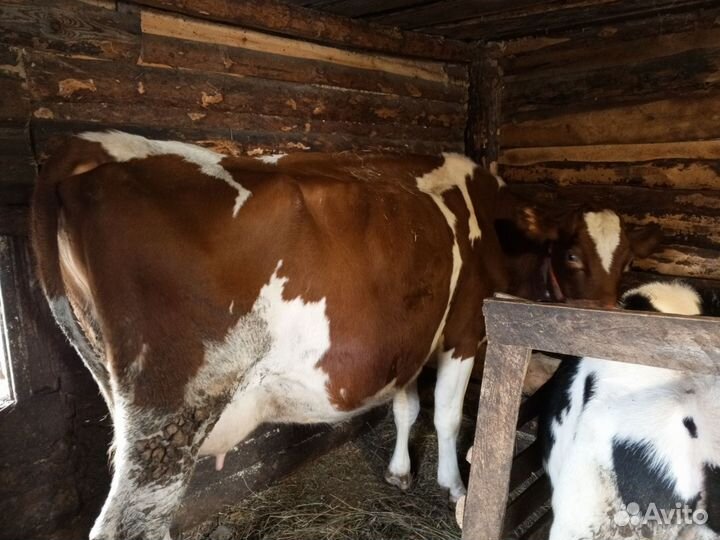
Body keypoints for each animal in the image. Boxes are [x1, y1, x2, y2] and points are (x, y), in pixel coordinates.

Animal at [30, 131, 661, 539]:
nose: (606, 332)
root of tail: (91, 145)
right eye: (572, 255)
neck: (485, 219)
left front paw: (400, 472)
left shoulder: (408, 336)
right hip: (170, 415)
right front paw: (453, 485)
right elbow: (447, 415)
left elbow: (407, 409)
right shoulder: (462, 332)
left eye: (629, 261)